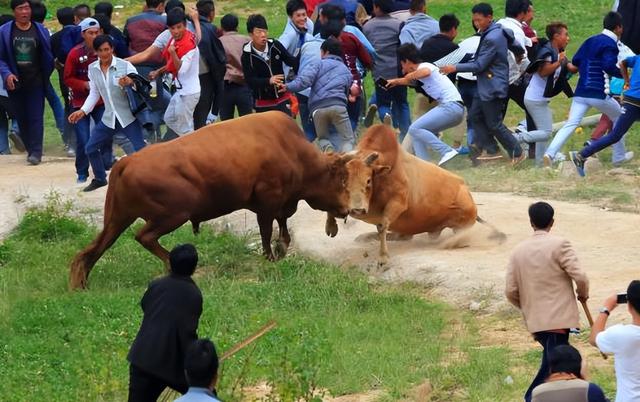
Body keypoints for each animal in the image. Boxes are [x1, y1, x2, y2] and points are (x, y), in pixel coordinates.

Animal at [71, 113, 360, 288]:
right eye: (341, 178)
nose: (347, 209)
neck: (292, 149)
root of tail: (127, 161)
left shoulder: (280, 202)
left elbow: (282, 226)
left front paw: (281, 248)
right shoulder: (267, 201)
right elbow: (267, 231)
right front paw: (270, 256)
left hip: (118, 218)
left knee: (93, 249)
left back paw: (81, 283)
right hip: (173, 214)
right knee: (144, 237)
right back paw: (171, 264)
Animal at [330, 124, 504, 266]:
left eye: (368, 180)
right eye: (344, 180)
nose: (357, 209)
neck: (383, 174)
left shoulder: (398, 203)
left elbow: (382, 225)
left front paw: (383, 258)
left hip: (461, 223)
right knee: (402, 236)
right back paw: (366, 236)